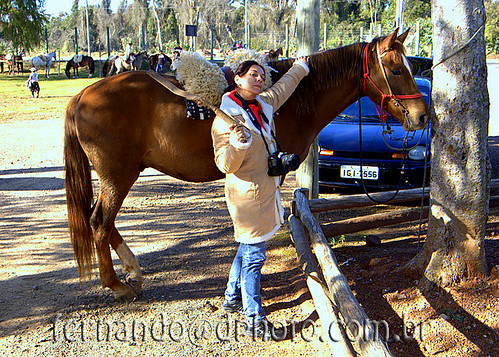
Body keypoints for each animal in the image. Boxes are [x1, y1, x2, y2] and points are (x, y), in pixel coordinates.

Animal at [63, 28, 430, 300]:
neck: (295, 100)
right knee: (99, 221)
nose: (422, 116)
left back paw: (133, 271)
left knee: (103, 221)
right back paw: (116, 284)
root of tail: (82, 96)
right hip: (118, 175)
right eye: (396, 69)